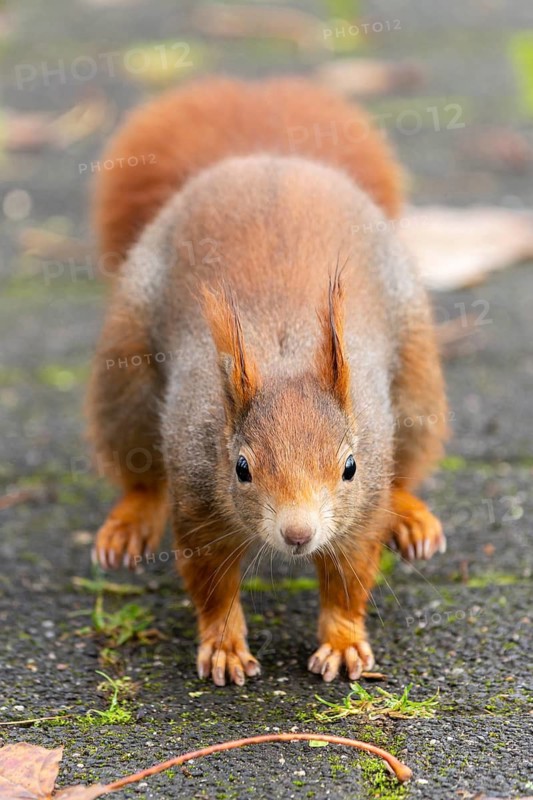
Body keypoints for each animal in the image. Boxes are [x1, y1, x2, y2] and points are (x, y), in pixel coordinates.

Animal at [87, 77, 448, 686]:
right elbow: (211, 583)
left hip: (417, 381)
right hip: (126, 376)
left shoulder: (362, 505)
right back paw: (129, 522)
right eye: (241, 468)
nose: (298, 536)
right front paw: (224, 647)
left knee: (410, 465)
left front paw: (343, 642)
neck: (284, 354)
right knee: (140, 473)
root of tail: (268, 158)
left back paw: (413, 516)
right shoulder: (198, 500)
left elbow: (350, 577)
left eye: (350, 467)